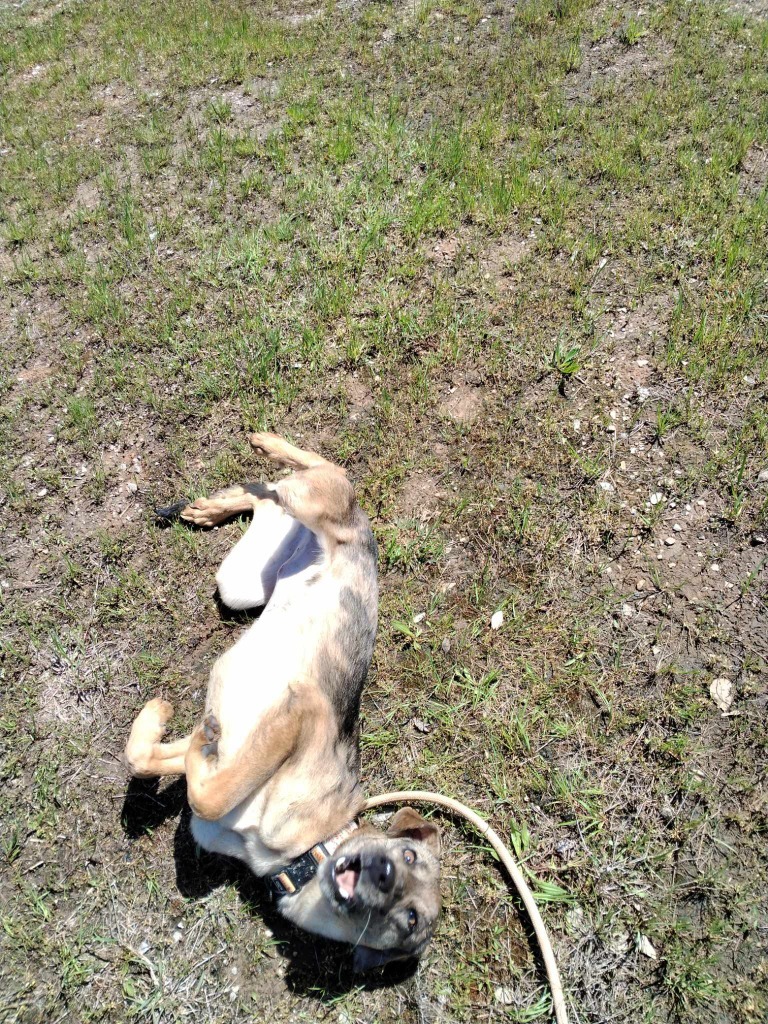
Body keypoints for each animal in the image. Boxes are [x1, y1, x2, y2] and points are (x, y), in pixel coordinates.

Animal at [123, 430, 442, 966]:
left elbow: (178, 773)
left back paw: (211, 504)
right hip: (300, 526)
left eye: (411, 919)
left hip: (242, 577)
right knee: (311, 473)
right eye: (407, 853)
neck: (299, 853)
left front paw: (169, 726)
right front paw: (168, 718)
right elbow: (207, 788)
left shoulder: (250, 739)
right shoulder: (303, 709)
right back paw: (262, 450)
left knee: (272, 495)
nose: (382, 873)